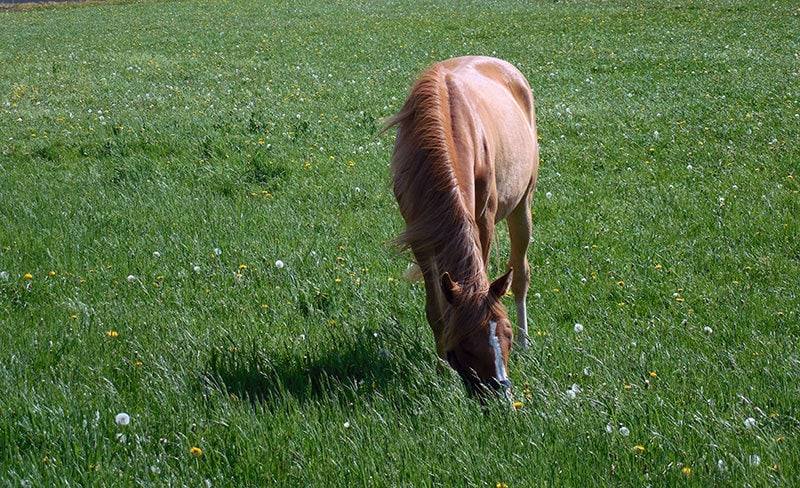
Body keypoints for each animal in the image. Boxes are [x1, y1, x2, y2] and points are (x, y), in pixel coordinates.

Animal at [386, 56, 539, 397]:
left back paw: (528, 342)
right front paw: (442, 367)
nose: (500, 393)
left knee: (521, 273)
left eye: (506, 334)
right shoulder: (422, 234)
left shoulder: (482, 222)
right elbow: (436, 309)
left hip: (522, 205)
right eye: (466, 345)